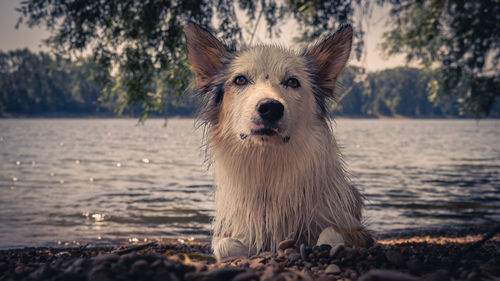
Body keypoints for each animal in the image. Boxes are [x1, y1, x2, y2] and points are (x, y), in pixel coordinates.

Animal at [186, 23, 374, 258]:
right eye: (240, 80)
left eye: (292, 82)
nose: (270, 108)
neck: (268, 163)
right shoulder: (233, 229)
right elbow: (226, 246)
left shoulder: (355, 227)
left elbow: (331, 232)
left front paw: (321, 246)